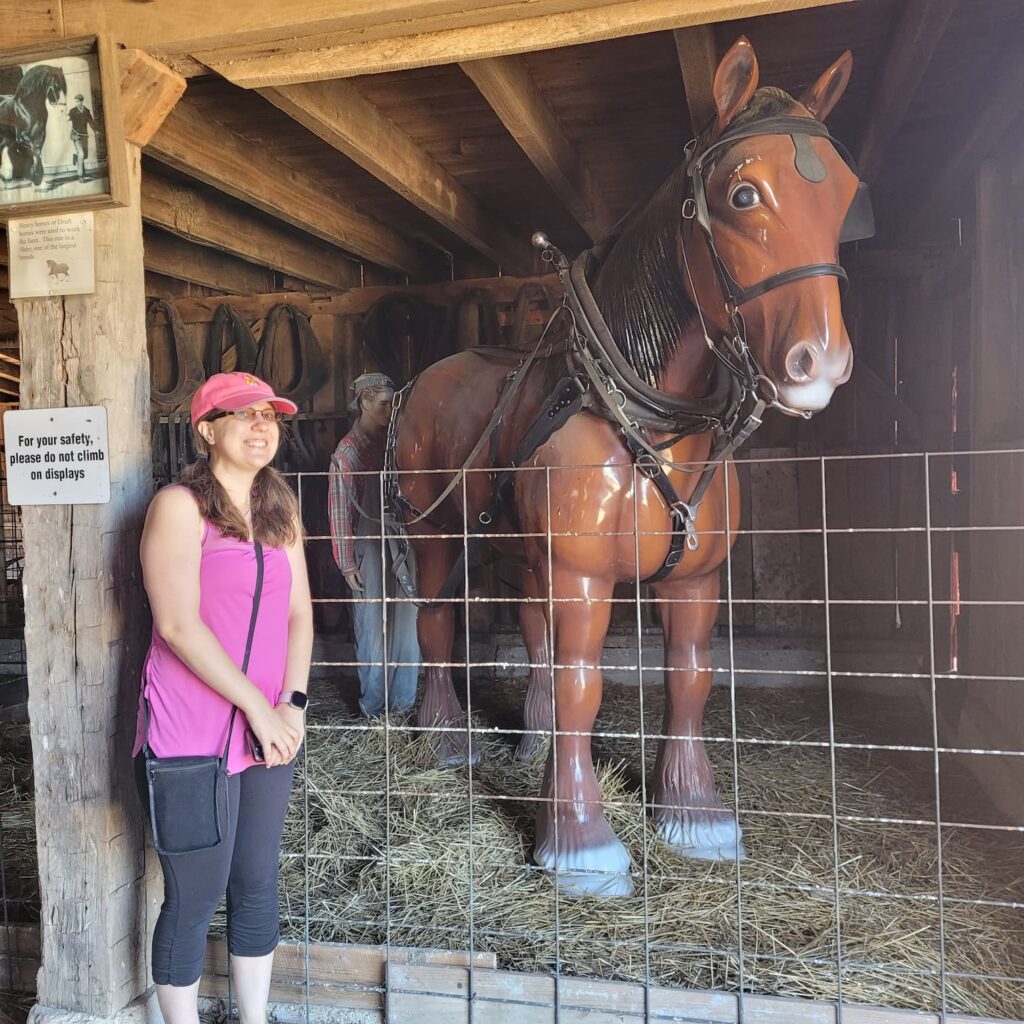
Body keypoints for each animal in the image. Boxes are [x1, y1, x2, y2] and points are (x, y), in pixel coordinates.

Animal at [391, 36, 864, 892]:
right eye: (743, 194)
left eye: (846, 197)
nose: (821, 363)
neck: (648, 419)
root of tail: (427, 377)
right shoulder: (582, 576)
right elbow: (584, 684)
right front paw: (579, 840)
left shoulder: (694, 579)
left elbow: (688, 677)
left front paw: (693, 812)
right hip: (437, 531)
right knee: (439, 621)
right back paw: (446, 737)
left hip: (524, 552)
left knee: (533, 634)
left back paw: (534, 741)